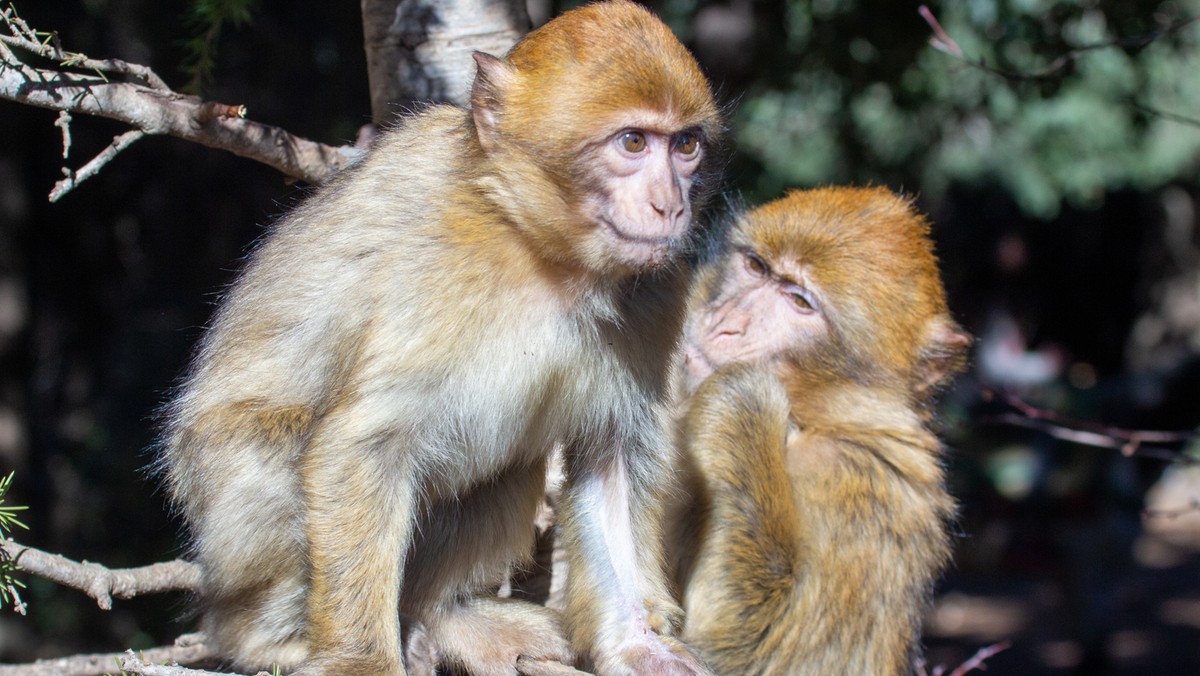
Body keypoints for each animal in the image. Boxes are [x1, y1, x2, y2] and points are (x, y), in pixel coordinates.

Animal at [158, 2, 720, 672]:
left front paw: (640, 646)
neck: (547, 256)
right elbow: (363, 443)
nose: (670, 205)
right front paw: (360, 661)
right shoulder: (438, 271)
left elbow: (611, 458)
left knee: (509, 470)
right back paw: (266, 639)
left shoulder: (657, 294)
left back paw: (439, 618)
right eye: (633, 142)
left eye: (685, 145)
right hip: (224, 517)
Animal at [672, 186, 969, 676]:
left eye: (799, 301)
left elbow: (758, 655)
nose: (726, 323)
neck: (819, 417)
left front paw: (746, 394)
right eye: (756, 267)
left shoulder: (858, 489)